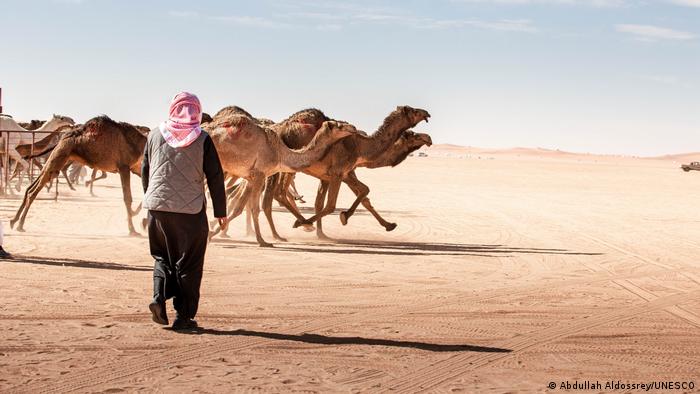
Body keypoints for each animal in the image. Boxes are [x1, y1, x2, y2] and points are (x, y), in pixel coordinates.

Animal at [11, 115, 148, 235]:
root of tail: (62, 138)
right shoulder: (124, 167)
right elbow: (128, 198)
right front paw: (132, 230)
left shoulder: (136, 168)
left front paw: (141, 220)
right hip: (60, 155)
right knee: (33, 191)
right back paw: (20, 225)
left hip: (58, 159)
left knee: (33, 185)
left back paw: (14, 220)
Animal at [204, 112, 360, 245]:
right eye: (338, 125)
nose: (353, 127)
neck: (279, 153)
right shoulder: (260, 174)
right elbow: (255, 208)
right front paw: (262, 241)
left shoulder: (250, 177)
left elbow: (239, 208)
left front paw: (212, 233)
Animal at [284, 106, 430, 239]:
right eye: (414, 111)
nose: (428, 138)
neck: (360, 146)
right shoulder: (340, 172)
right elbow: (333, 203)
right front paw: (342, 217)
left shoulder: (334, 174)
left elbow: (361, 194)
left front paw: (389, 225)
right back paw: (302, 224)